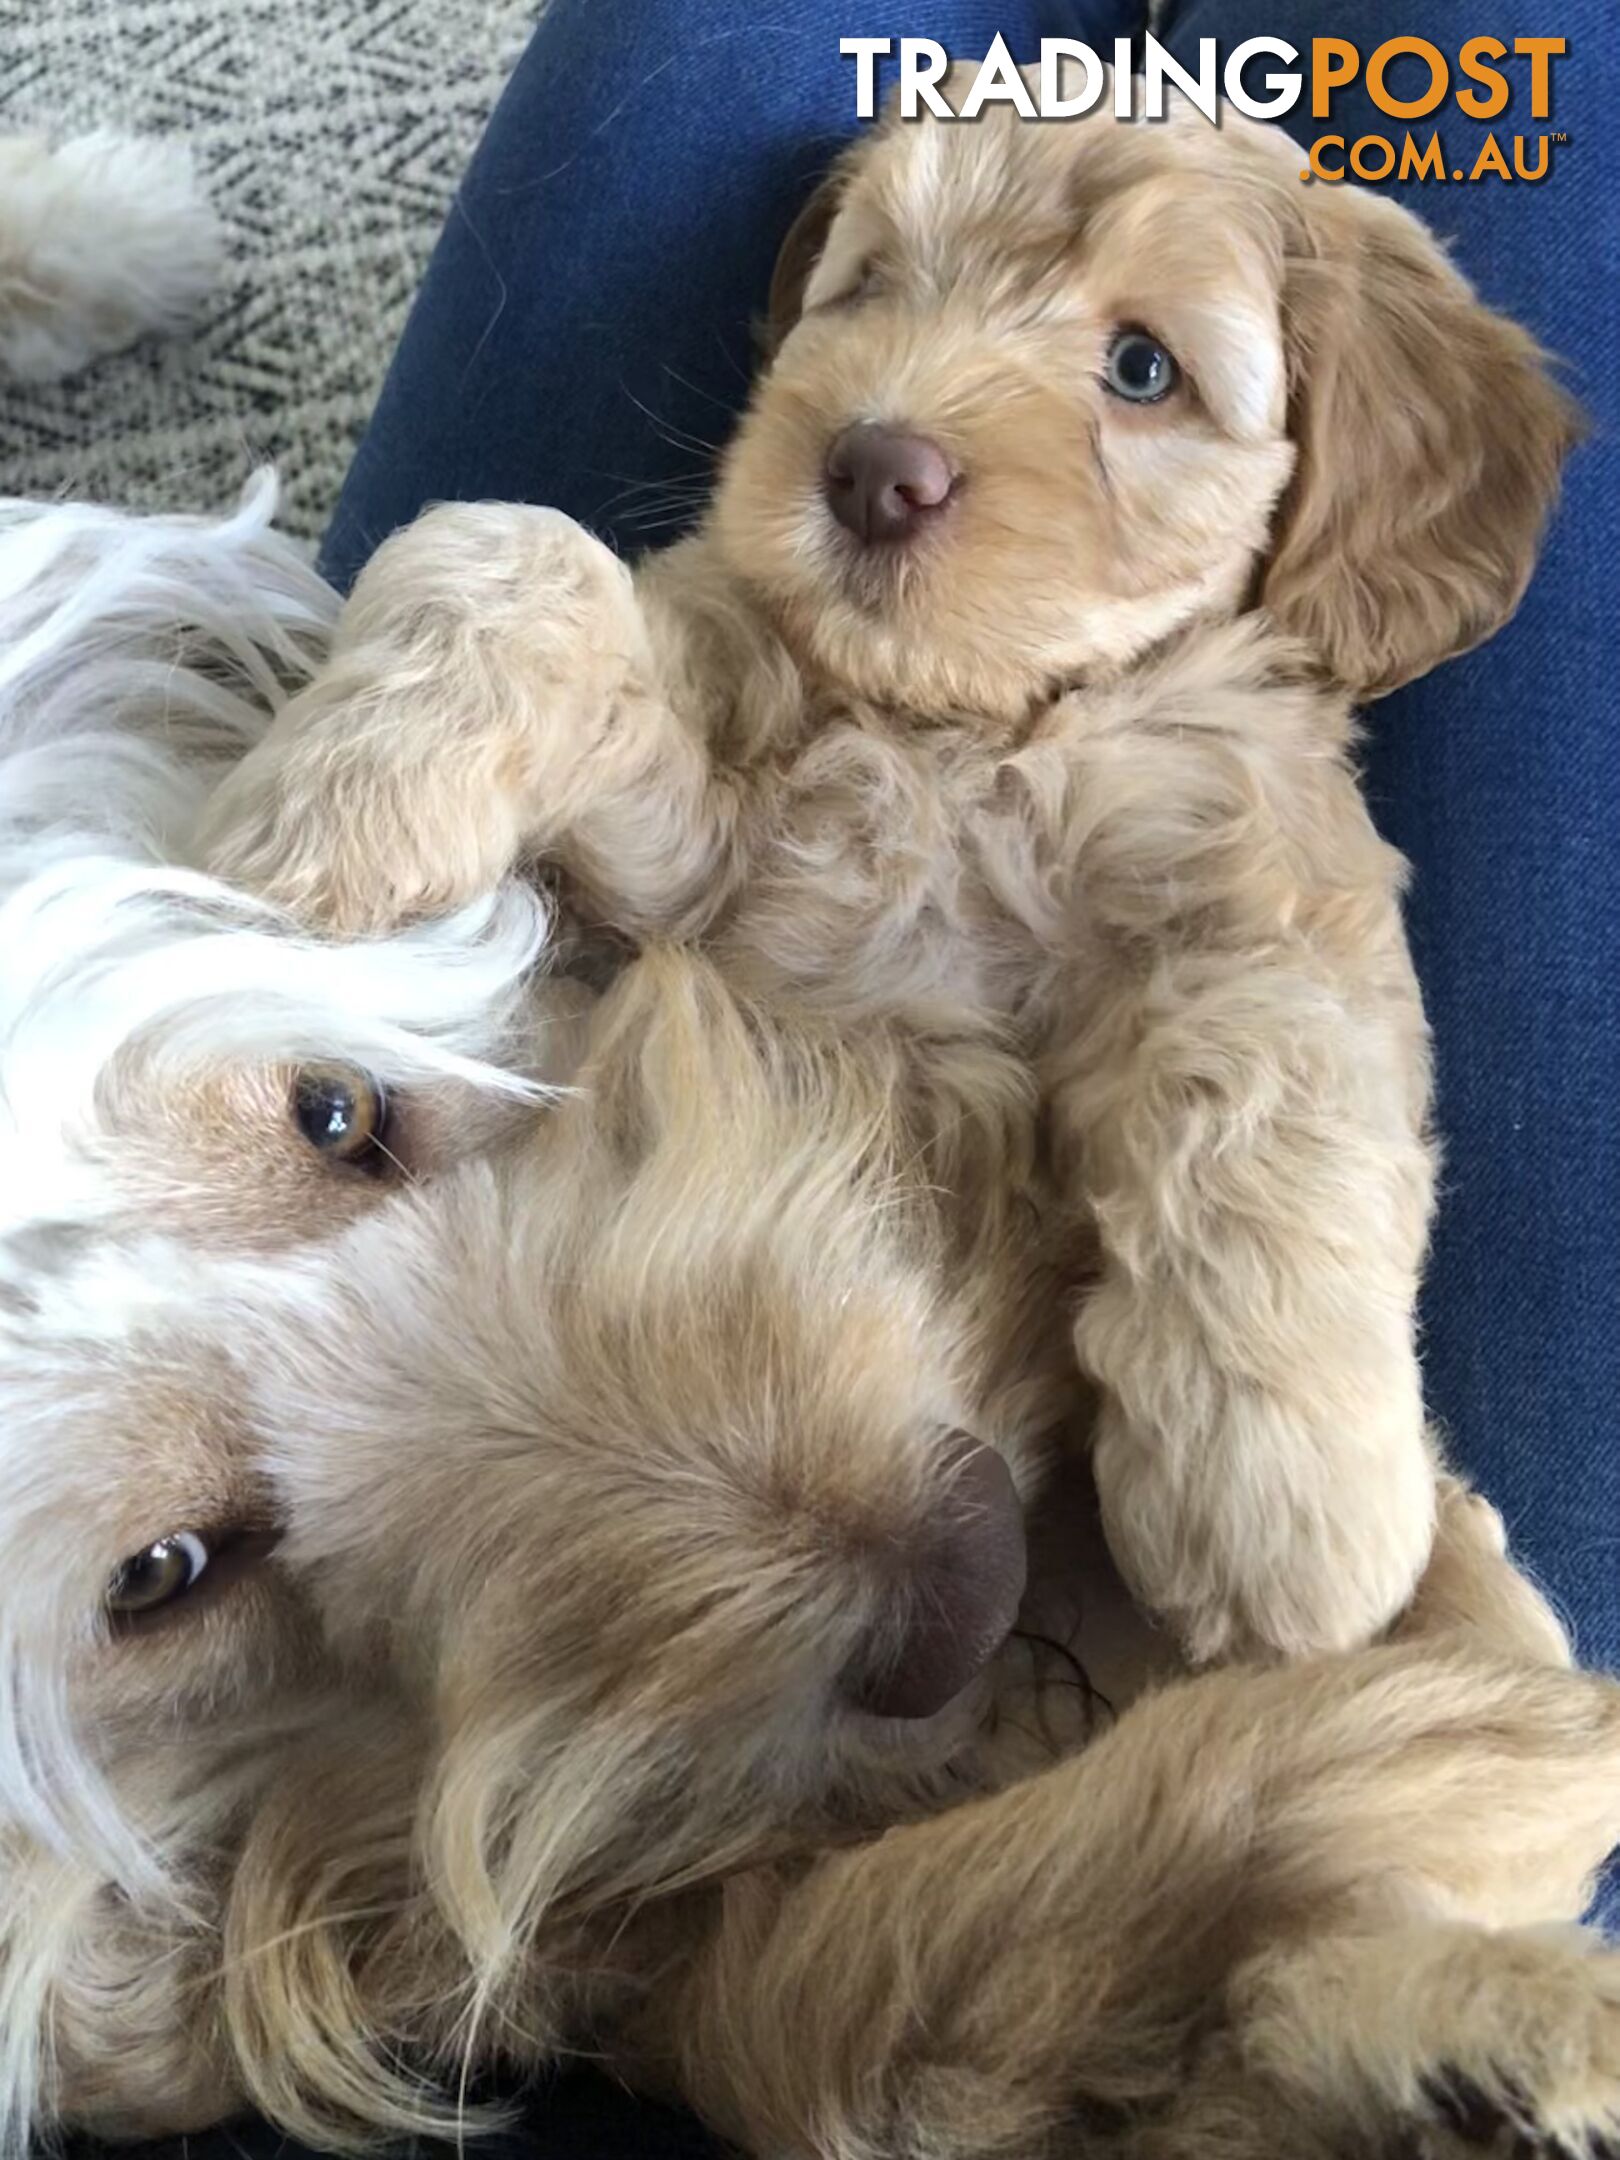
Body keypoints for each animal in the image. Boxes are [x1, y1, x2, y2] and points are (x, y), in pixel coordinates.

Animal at [203, 71, 1589, 1667]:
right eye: (869, 287)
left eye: (1142, 367)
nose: (873, 466)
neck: (965, 731)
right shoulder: (696, 867)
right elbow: (516, 549)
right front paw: (325, 820)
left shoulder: (1270, 870)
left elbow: (1271, 1070)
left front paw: (1286, 1491)